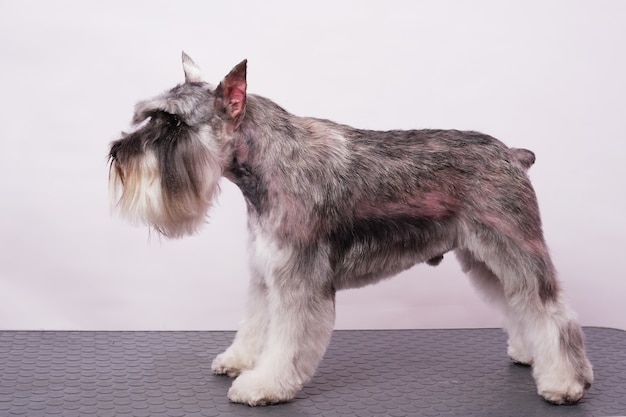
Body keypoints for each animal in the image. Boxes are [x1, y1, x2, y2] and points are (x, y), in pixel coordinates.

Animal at [107, 53, 588, 404]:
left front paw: (263, 384)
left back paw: (564, 382)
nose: (116, 151)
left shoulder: (298, 279)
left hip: (516, 248)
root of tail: (513, 154)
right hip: (483, 258)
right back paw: (529, 354)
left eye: (173, 123)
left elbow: (287, 340)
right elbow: (256, 323)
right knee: (515, 303)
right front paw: (240, 359)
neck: (266, 164)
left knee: (551, 313)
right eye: (150, 116)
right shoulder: (266, 272)